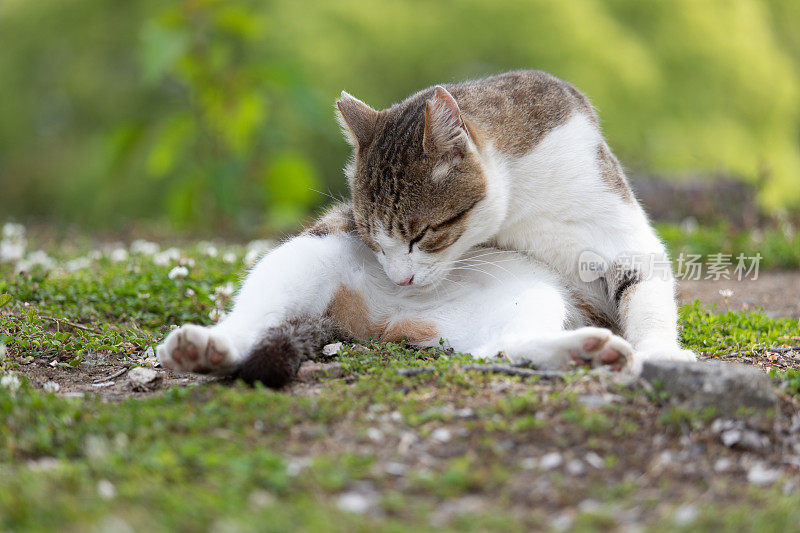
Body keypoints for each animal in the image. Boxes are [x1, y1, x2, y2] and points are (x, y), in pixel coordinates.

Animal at [156, 213, 632, 386]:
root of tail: (387, 319)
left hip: (525, 298)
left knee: (499, 347)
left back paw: (585, 352)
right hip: (307, 254)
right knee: (249, 318)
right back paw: (204, 349)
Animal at [334, 68, 696, 372]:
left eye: (421, 235)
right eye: (373, 244)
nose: (401, 282)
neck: (520, 203)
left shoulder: (617, 228)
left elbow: (644, 291)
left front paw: (662, 352)